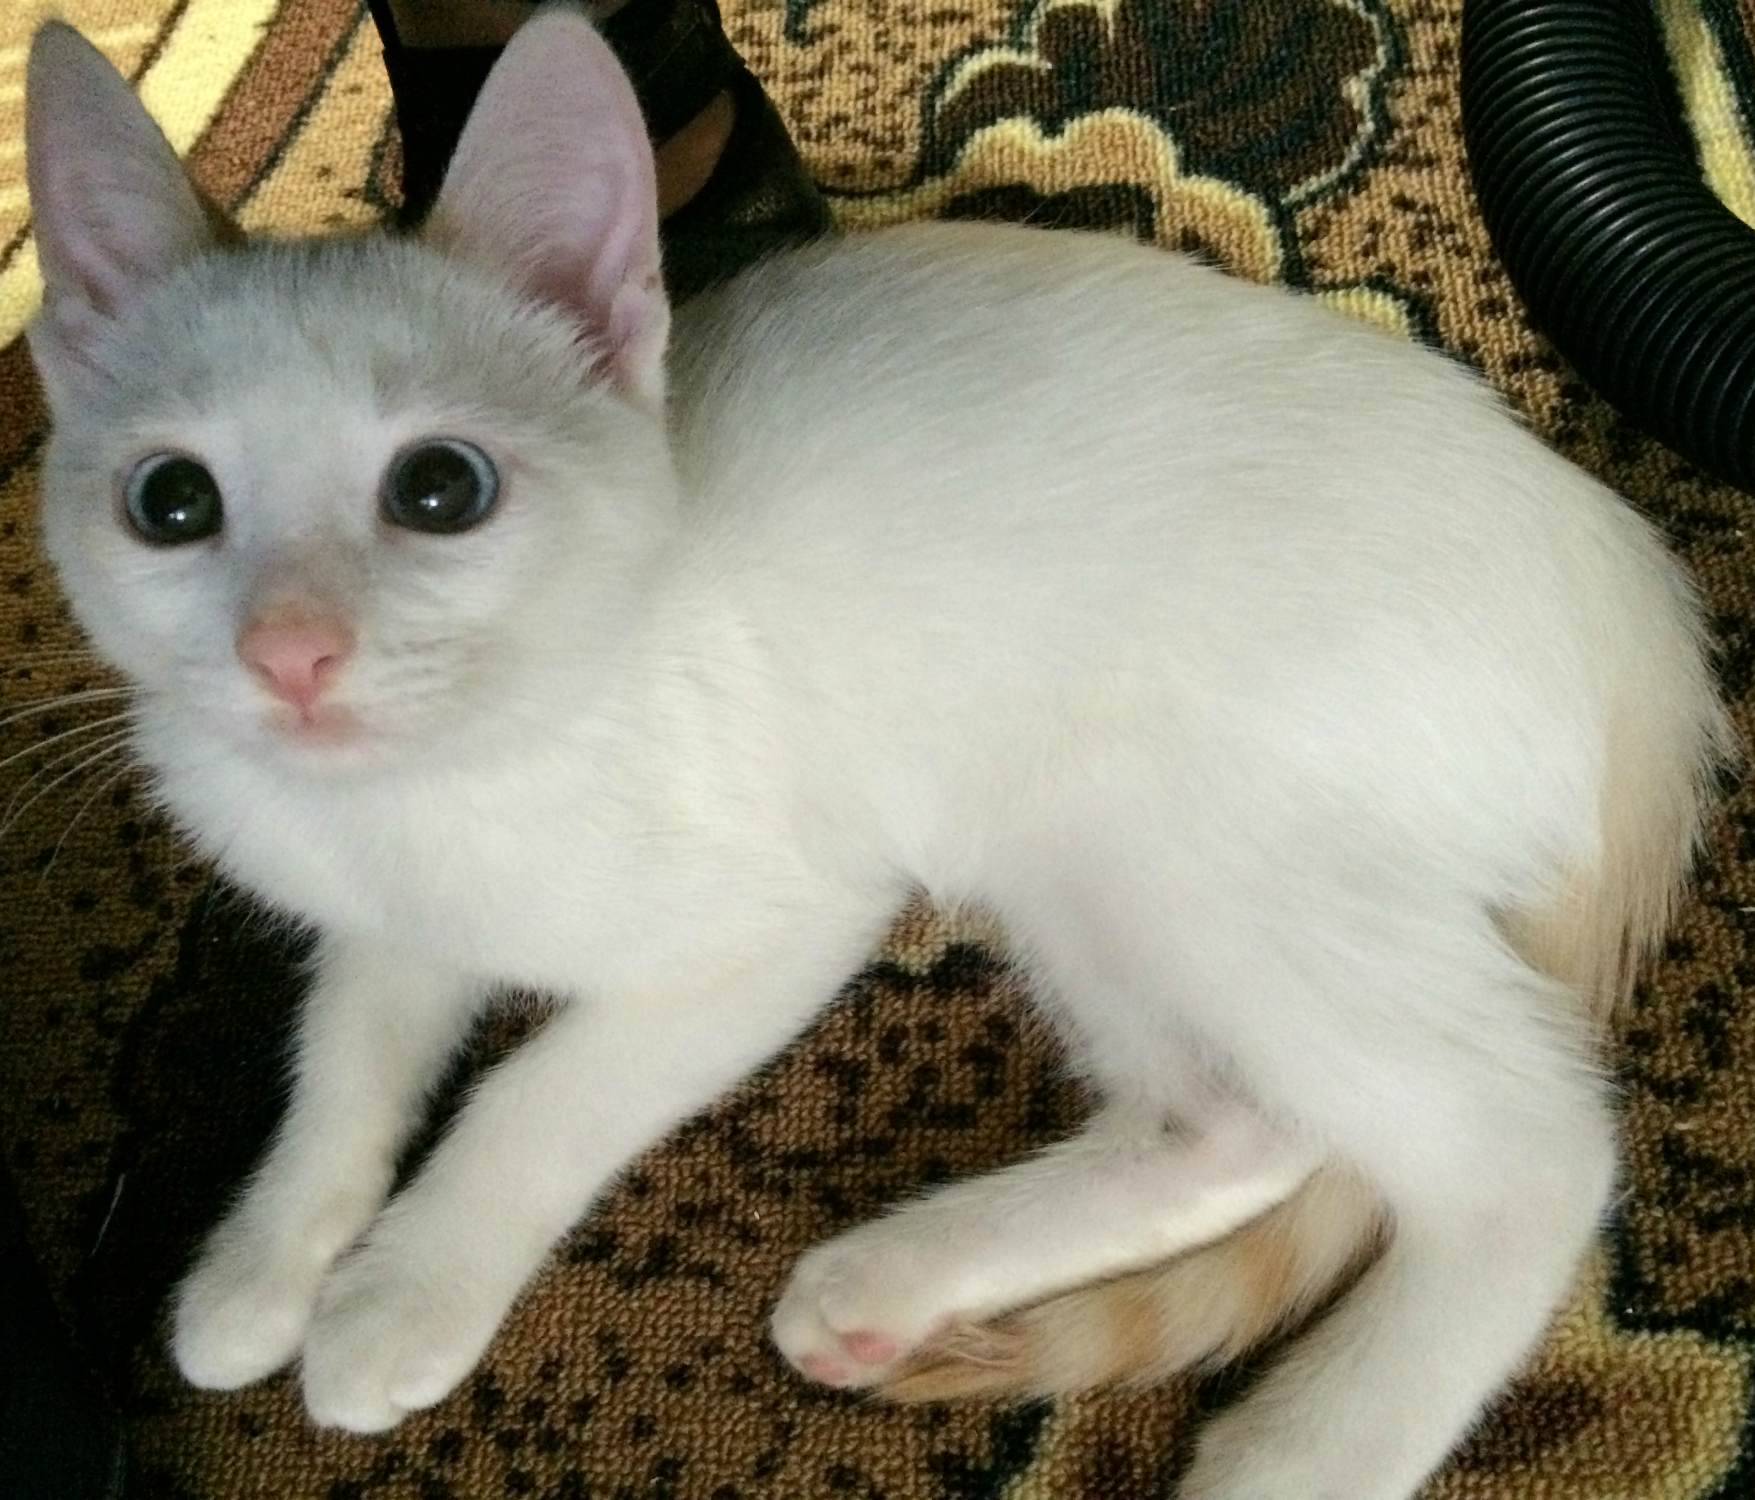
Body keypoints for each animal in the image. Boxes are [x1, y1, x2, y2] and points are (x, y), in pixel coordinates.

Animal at [21, 10, 1729, 1499]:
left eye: (441, 490)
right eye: (170, 505)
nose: (289, 654)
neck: (431, 796)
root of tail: (1629, 599)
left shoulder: (784, 920)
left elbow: (539, 1092)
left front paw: (401, 1292)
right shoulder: (383, 923)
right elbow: (344, 1059)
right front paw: (263, 1262)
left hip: (1197, 846)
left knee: (1527, 1150)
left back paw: (1316, 1445)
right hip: (1075, 860)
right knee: (1243, 1123)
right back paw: (898, 1278)